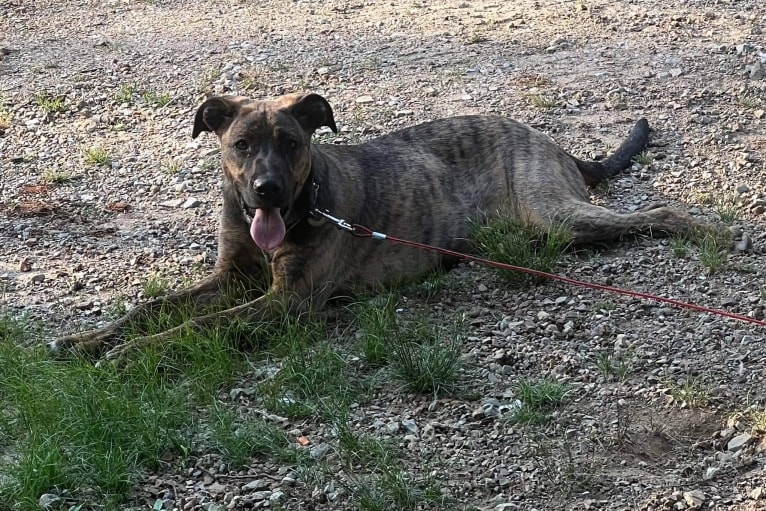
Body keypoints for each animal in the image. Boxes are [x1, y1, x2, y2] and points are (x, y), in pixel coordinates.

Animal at [49, 92, 728, 358]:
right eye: (241, 145)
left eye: (291, 142)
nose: (267, 190)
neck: (302, 202)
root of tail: (549, 140)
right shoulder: (230, 279)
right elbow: (152, 309)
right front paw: (87, 341)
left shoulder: (286, 303)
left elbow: (194, 328)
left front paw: (129, 357)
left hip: (555, 214)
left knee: (658, 213)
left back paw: (713, 231)